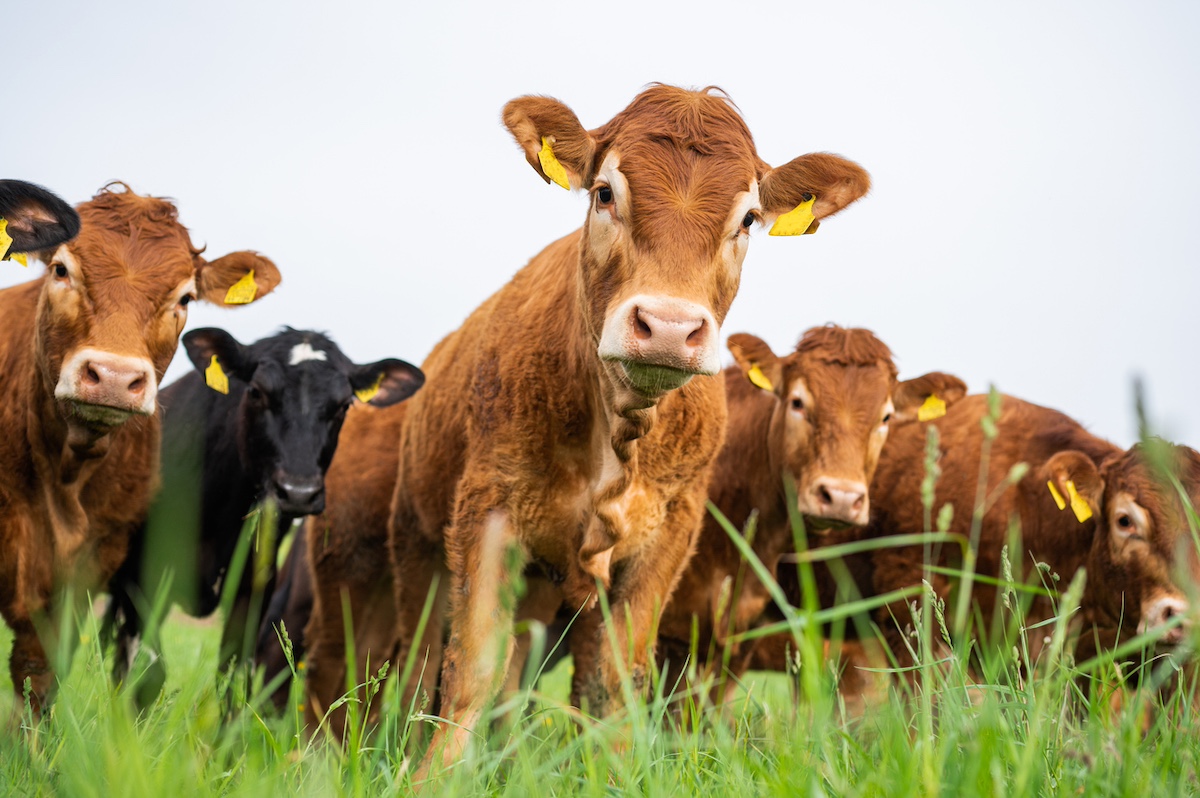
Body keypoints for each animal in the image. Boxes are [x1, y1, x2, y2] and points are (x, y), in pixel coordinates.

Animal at [0, 182, 278, 710]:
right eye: (61, 270)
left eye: (185, 297)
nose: (113, 376)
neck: (67, 474)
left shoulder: (96, 563)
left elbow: (39, 674)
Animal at [106, 326, 427, 705]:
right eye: (257, 392)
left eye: (344, 405)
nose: (299, 492)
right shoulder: (143, 578)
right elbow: (148, 673)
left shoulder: (253, 590)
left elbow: (235, 679)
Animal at [300, 82, 873, 772]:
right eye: (605, 193)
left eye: (748, 220)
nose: (670, 326)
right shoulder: (487, 512)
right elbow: (471, 668)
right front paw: (437, 775)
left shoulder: (666, 537)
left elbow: (612, 683)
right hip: (395, 556)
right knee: (391, 666)